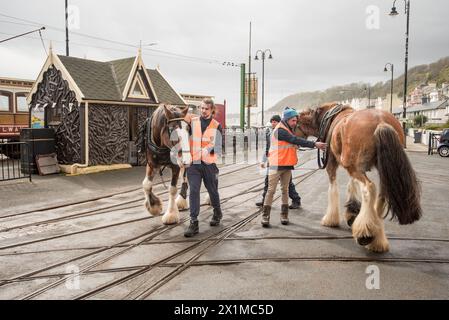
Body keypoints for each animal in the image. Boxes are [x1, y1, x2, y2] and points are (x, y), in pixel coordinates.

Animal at [298, 102, 420, 252]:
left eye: (295, 123)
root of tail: (381, 121)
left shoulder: (333, 164)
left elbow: (333, 189)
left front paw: (331, 219)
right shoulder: (352, 165)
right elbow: (352, 184)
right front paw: (352, 211)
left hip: (355, 167)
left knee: (369, 188)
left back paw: (365, 233)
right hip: (375, 167)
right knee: (382, 195)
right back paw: (376, 238)